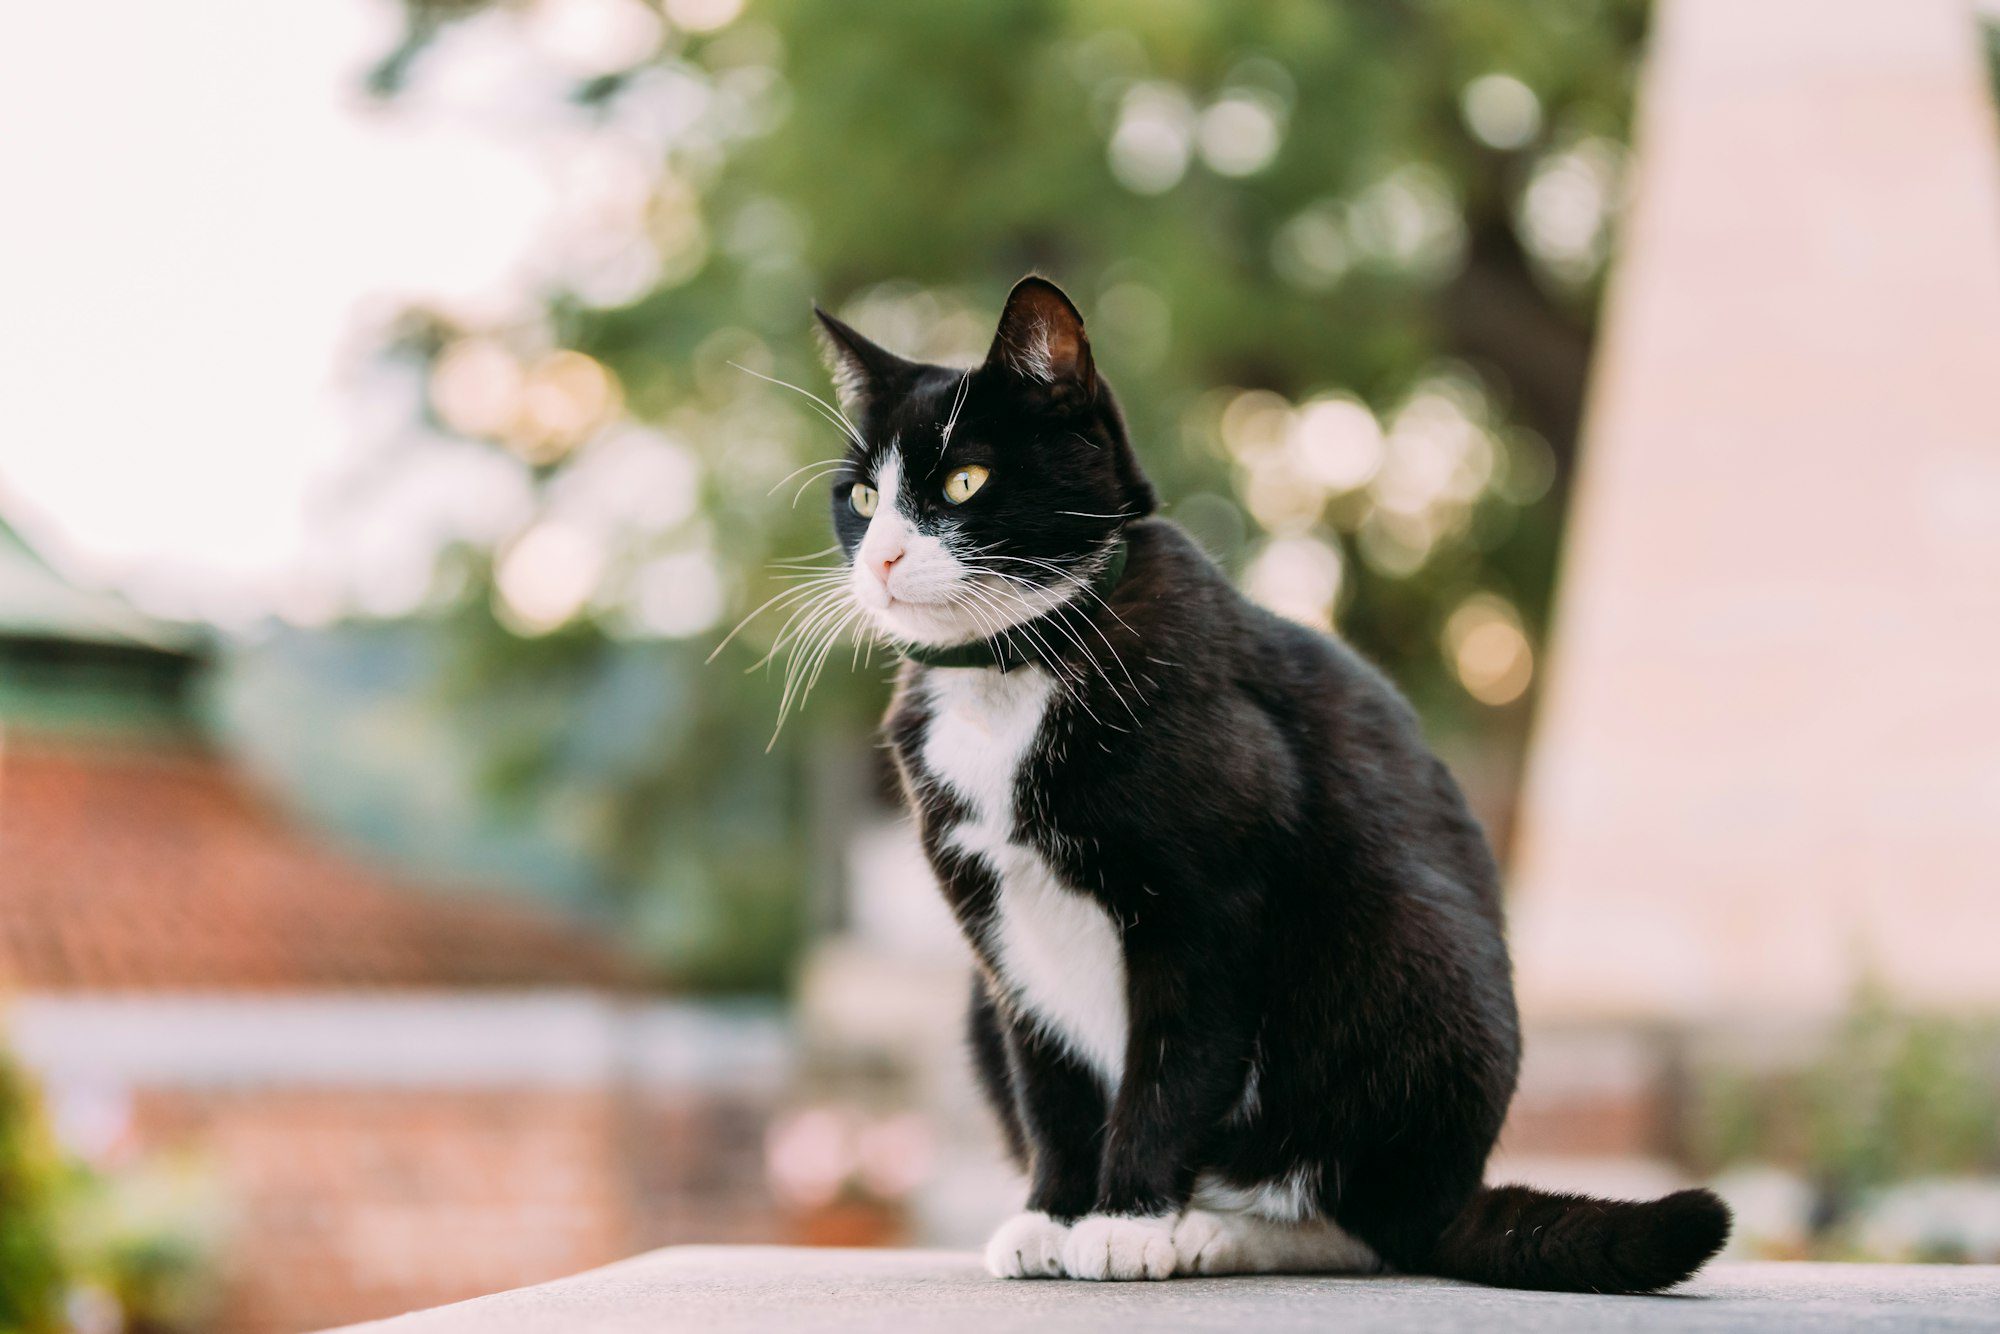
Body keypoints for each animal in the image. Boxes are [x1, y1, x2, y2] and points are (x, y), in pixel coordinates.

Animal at [804, 280, 1728, 1296]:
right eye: (861, 496)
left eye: (964, 482)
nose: (883, 557)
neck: (1012, 673)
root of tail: (1458, 1193)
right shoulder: (1003, 937)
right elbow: (1049, 1085)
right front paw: (1053, 1214)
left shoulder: (1209, 909)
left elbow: (1171, 1071)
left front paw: (1126, 1222)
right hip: (977, 1005)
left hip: (1407, 955)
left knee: (1366, 1223)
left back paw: (1213, 1231)